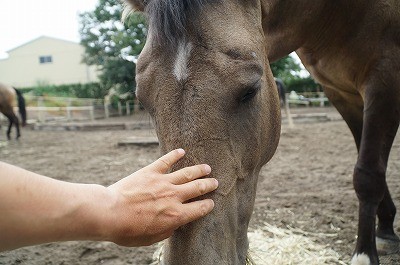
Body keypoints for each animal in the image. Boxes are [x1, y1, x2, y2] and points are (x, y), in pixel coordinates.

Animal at [125, 1, 400, 262]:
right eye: (142, 99)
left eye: (250, 90)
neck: (336, 13)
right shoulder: (341, 94)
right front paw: (385, 229)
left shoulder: (385, 79)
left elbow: (368, 173)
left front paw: (366, 254)